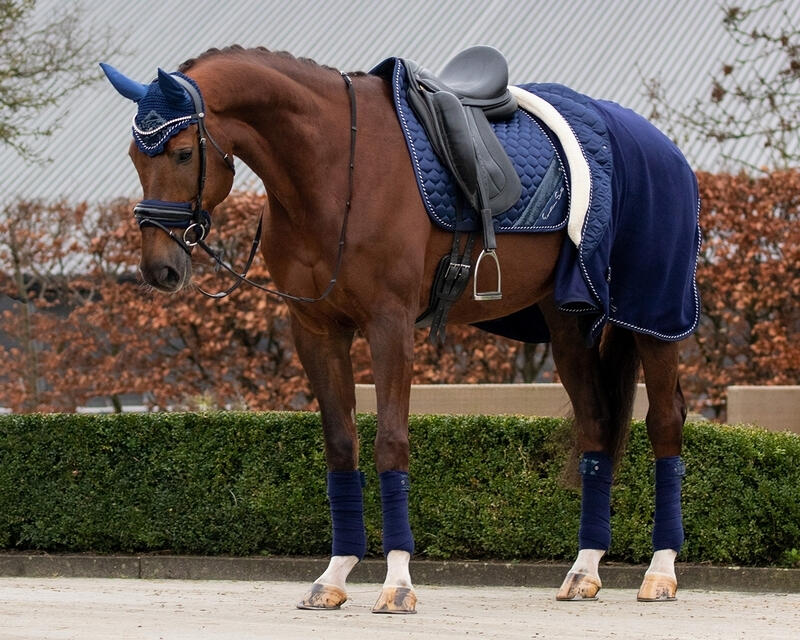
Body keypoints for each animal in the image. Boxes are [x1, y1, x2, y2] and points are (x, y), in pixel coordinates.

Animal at [101, 45, 701, 612]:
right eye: (134, 155)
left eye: (182, 152)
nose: (159, 269)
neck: (335, 166)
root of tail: (661, 145)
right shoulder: (316, 330)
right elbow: (342, 445)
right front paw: (334, 576)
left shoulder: (389, 325)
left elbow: (390, 443)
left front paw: (397, 582)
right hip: (568, 325)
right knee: (597, 424)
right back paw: (584, 569)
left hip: (653, 315)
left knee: (665, 422)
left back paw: (660, 572)